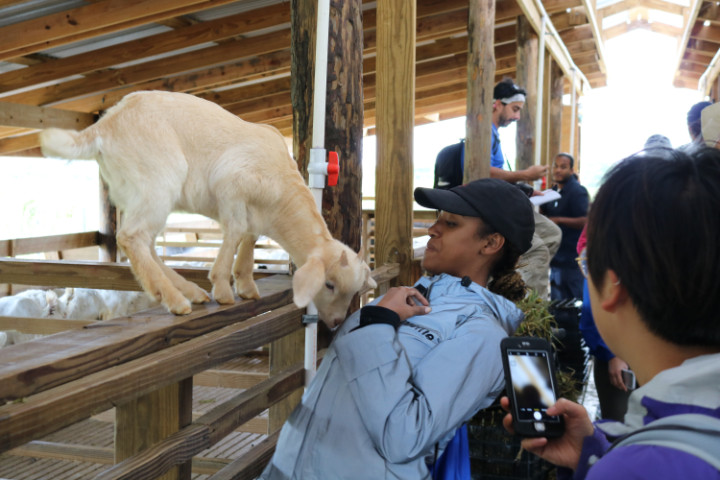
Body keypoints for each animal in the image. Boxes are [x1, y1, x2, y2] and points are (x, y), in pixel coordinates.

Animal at [39, 91, 376, 326]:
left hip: (134, 192)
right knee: (131, 237)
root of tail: (103, 127)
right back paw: (176, 300)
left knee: (146, 243)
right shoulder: (231, 187)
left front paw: (245, 283)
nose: (336, 322)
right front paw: (224, 287)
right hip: (157, 182)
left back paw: (188, 291)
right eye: (329, 284)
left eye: (353, 291)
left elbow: (250, 235)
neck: (281, 196)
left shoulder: (253, 210)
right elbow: (236, 230)